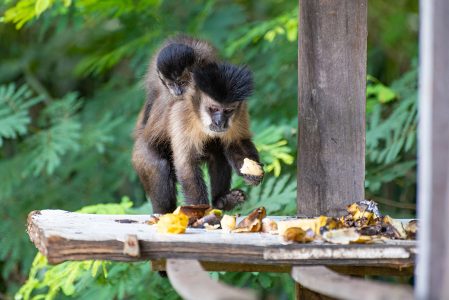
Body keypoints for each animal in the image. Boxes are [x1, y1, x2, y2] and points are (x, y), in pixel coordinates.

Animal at [131, 62, 262, 213]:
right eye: (214, 109)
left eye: (228, 111)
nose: (220, 122)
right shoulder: (181, 114)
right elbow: (187, 166)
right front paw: (200, 211)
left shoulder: (241, 110)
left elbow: (237, 142)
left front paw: (251, 173)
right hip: (141, 156)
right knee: (160, 166)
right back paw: (164, 214)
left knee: (218, 152)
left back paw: (222, 201)